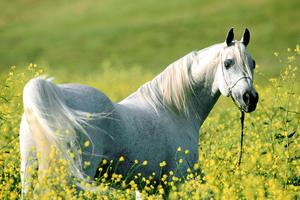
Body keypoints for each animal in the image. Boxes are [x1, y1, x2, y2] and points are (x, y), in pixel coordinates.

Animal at [19, 28, 258, 197]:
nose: (251, 98)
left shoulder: (146, 187)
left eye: (253, 63)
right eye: (228, 63)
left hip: (30, 171)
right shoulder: (176, 182)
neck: (175, 110)